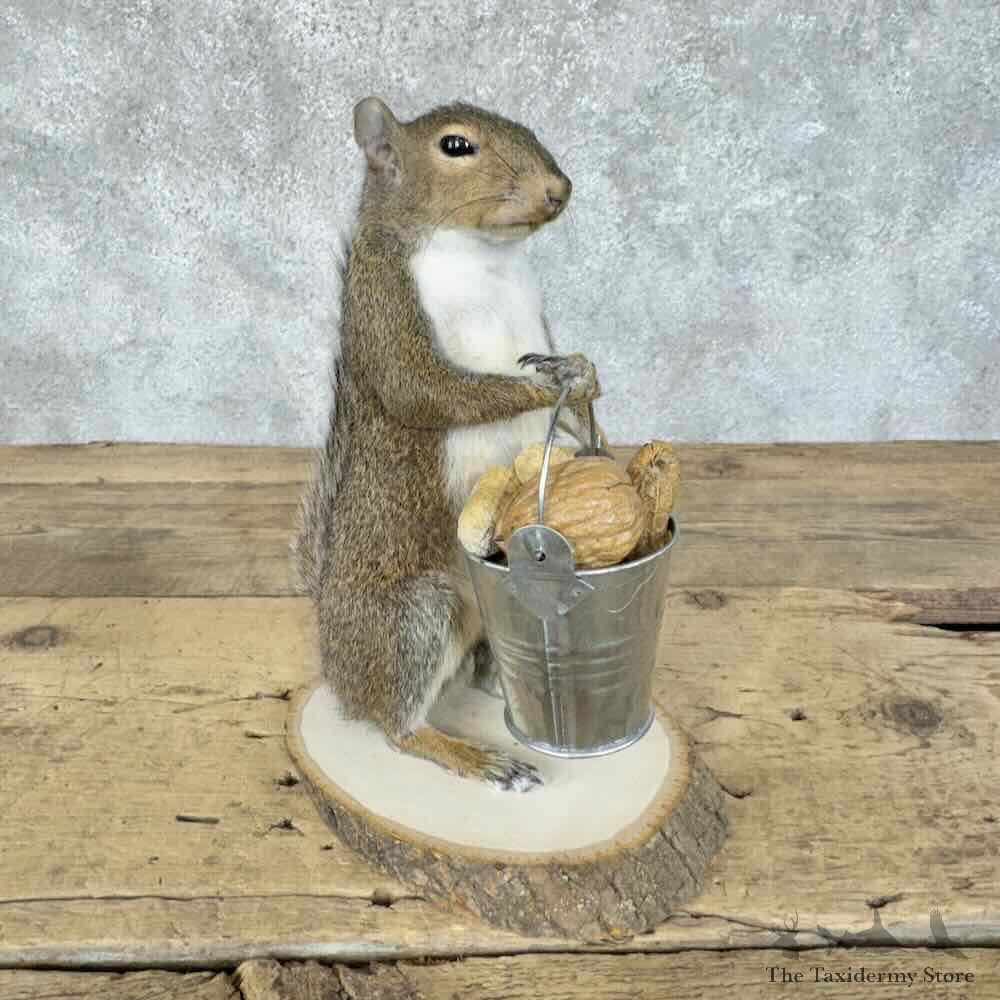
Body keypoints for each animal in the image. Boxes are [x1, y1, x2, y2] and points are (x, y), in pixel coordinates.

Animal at [295, 97, 599, 791]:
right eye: (456, 146)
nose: (559, 189)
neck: (484, 255)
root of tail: (334, 656)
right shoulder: (384, 300)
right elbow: (428, 390)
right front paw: (543, 386)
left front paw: (583, 378)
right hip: (415, 615)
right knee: (398, 728)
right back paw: (477, 756)